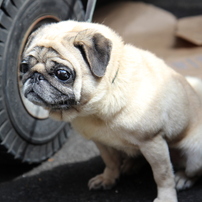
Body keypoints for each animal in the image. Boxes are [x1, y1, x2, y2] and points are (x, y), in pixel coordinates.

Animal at [20, 20, 202, 202]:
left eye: (62, 74)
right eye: (23, 67)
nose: (35, 76)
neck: (96, 108)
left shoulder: (153, 142)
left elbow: (162, 175)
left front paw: (166, 197)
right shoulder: (102, 142)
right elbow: (111, 162)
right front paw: (108, 179)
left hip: (195, 156)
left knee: (191, 171)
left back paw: (182, 178)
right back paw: (131, 165)